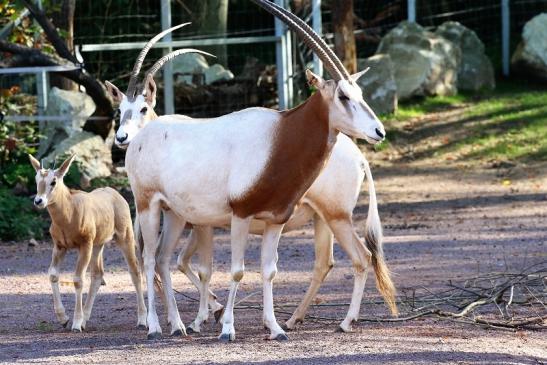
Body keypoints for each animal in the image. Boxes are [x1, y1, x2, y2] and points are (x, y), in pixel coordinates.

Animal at [28, 153, 147, 330]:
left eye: (53, 181)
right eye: (37, 179)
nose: (39, 201)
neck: (68, 213)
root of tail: (116, 195)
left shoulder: (85, 245)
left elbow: (78, 279)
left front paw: (76, 323)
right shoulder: (60, 246)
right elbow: (53, 275)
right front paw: (64, 318)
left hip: (124, 237)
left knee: (135, 272)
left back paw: (142, 320)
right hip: (98, 245)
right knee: (97, 274)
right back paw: (85, 318)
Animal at [108, 0, 386, 342]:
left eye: (359, 93)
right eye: (344, 96)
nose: (379, 131)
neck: (279, 137)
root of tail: (140, 138)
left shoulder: (274, 220)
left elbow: (269, 271)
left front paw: (275, 328)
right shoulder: (239, 215)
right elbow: (237, 270)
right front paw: (227, 327)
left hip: (177, 213)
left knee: (161, 258)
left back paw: (179, 325)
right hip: (148, 205)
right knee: (148, 258)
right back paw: (155, 327)